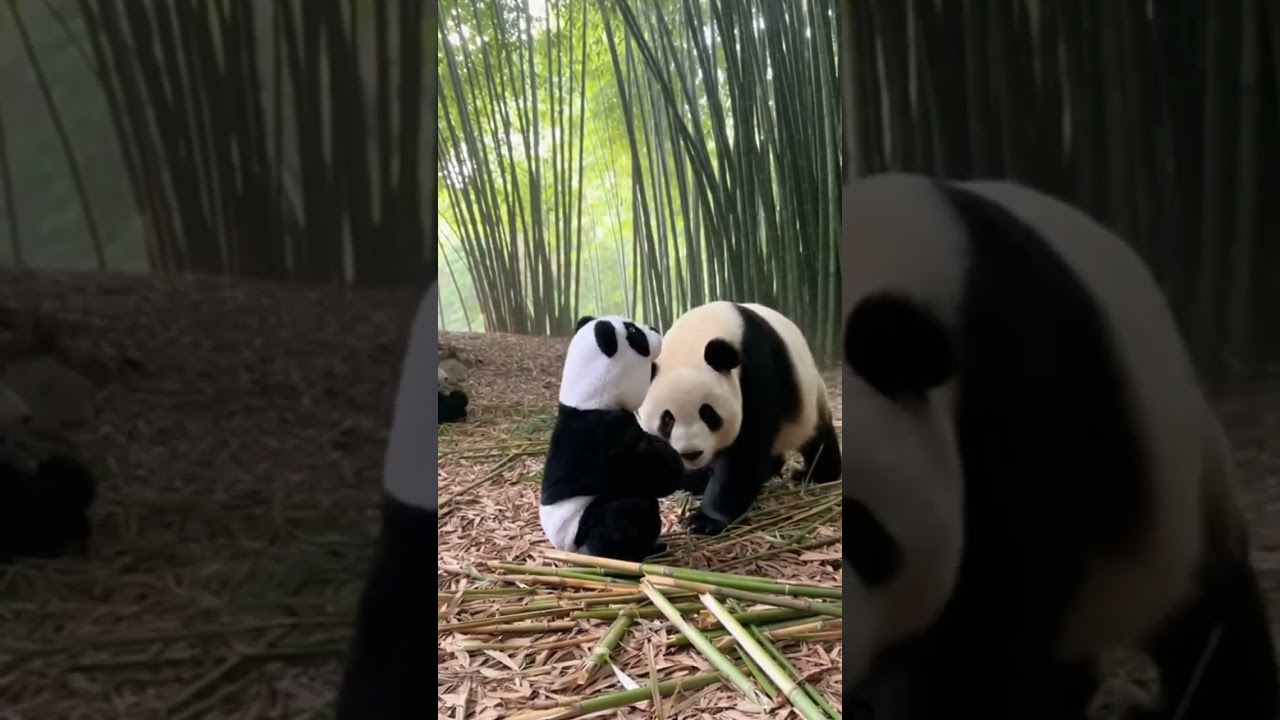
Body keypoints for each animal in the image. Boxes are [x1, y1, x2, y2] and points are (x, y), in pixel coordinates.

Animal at [539, 315, 695, 562]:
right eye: (633, 331)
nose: (653, 327)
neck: (586, 399)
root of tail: (567, 549)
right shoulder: (612, 433)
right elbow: (654, 471)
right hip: (582, 524)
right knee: (627, 511)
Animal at [636, 301, 841, 536]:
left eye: (708, 414)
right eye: (667, 420)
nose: (691, 454)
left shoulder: (756, 368)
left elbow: (745, 451)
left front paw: (705, 520)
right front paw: (696, 481)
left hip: (808, 400)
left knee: (816, 437)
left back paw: (816, 473)